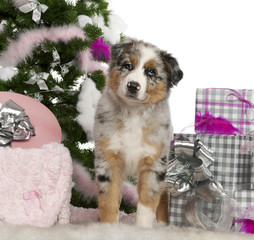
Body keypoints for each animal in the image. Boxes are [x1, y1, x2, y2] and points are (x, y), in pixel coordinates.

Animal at [93, 38, 183, 228]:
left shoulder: (154, 163)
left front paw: (142, 228)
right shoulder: (108, 159)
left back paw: (163, 224)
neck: (133, 112)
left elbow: (148, 201)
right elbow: (109, 200)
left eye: (151, 72)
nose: (133, 86)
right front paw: (109, 227)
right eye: (128, 66)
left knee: (163, 195)